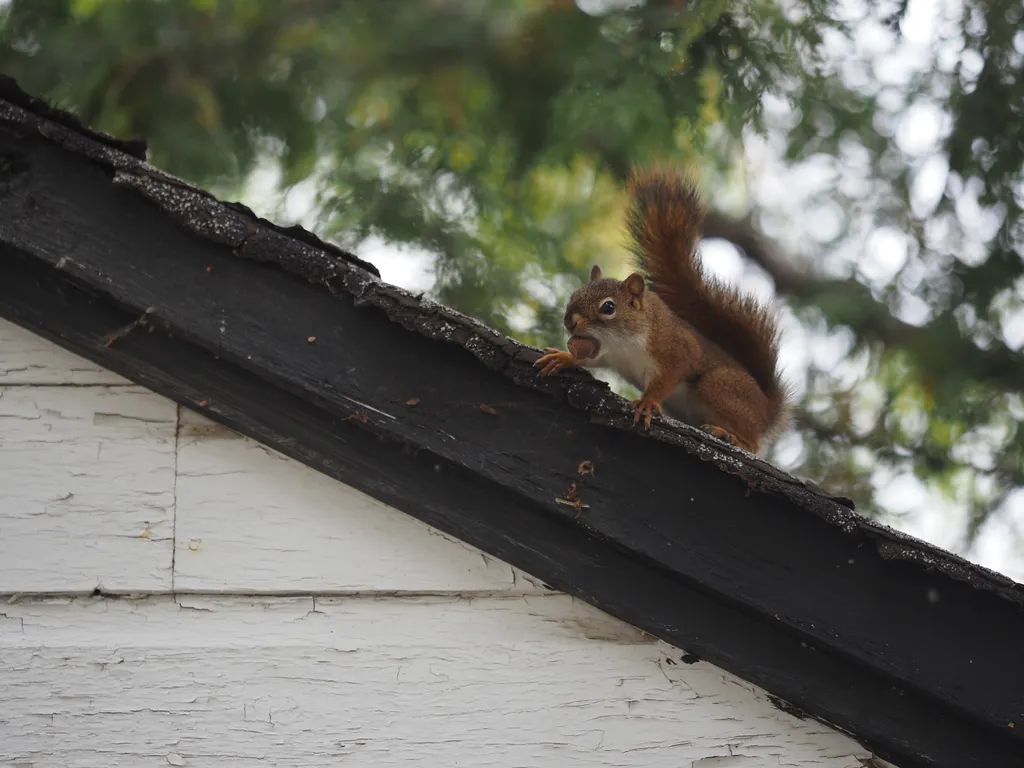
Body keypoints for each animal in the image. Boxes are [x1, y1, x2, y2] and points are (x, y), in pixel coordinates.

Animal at [536, 166, 790, 456]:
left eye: (608, 307)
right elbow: (590, 360)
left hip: (717, 387)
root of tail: (767, 412)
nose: (569, 321)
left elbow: (669, 376)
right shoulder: (608, 356)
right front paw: (563, 357)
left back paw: (731, 436)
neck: (624, 343)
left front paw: (647, 402)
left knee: (754, 443)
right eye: (574, 296)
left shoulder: (675, 348)